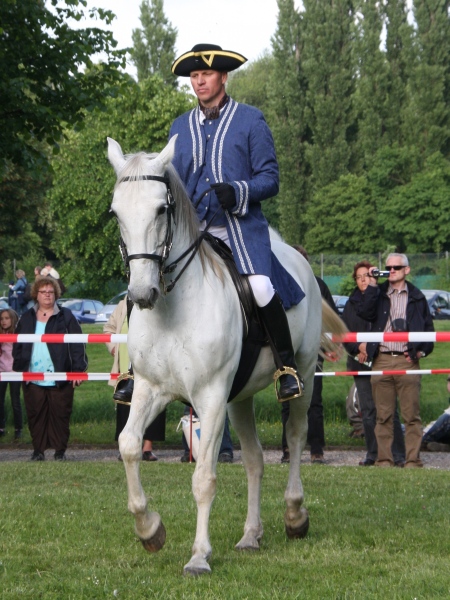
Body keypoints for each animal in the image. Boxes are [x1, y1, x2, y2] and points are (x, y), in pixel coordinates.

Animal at [106, 136, 344, 576]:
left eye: (162, 209)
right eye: (116, 213)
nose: (141, 294)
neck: (174, 308)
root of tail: (297, 259)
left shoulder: (211, 398)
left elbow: (204, 477)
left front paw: (199, 555)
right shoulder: (150, 389)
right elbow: (129, 444)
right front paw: (150, 530)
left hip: (299, 376)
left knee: (296, 435)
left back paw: (295, 515)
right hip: (240, 399)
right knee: (254, 460)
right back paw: (251, 535)